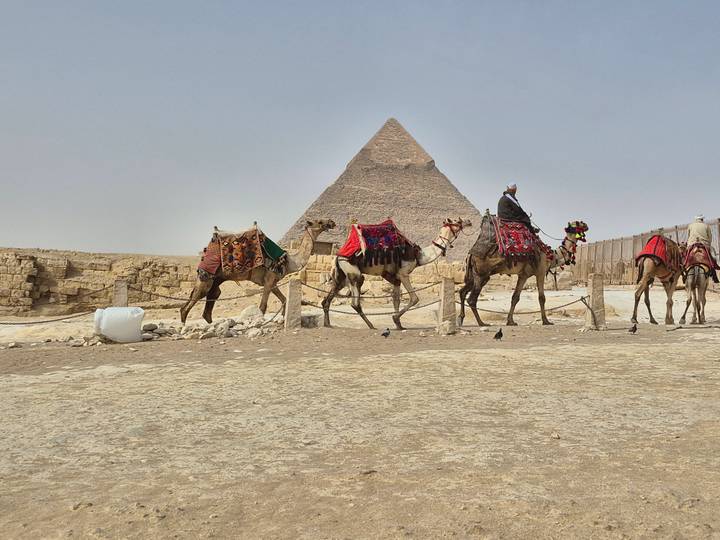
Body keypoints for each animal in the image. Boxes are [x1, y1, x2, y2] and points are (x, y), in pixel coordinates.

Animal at [180, 219, 336, 324]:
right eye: (319, 221)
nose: (331, 222)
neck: (290, 261)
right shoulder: (269, 280)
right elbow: (262, 306)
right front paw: (259, 323)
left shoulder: (273, 282)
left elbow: (284, 300)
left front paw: (283, 319)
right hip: (207, 277)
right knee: (188, 305)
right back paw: (183, 327)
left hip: (216, 280)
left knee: (210, 301)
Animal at [321, 218, 472, 330]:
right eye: (457, 221)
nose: (469, 221)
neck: (419, 255)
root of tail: (338, 256)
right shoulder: (403, 274)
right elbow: (414, 299)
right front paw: (395, 318)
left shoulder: (393, 277)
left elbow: (396, 299)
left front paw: (398, 324)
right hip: (353, 273)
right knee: (355, 302)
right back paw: (371, 325)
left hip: (341, 276)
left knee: (327, 299)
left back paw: (327, 324)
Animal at [458, 217, 589, 327]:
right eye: (578, 223)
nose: (586, 225)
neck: (551, 255)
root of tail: (470, 254)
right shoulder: (540, 272)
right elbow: (542, 298)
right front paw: (546, 321)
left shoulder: (523, 275)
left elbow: (515, 297)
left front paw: (510, 321)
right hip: (482, 274)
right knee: (471, 299)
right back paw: (481, 323)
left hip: (475, 275)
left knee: (462, 292)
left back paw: (461, 318)